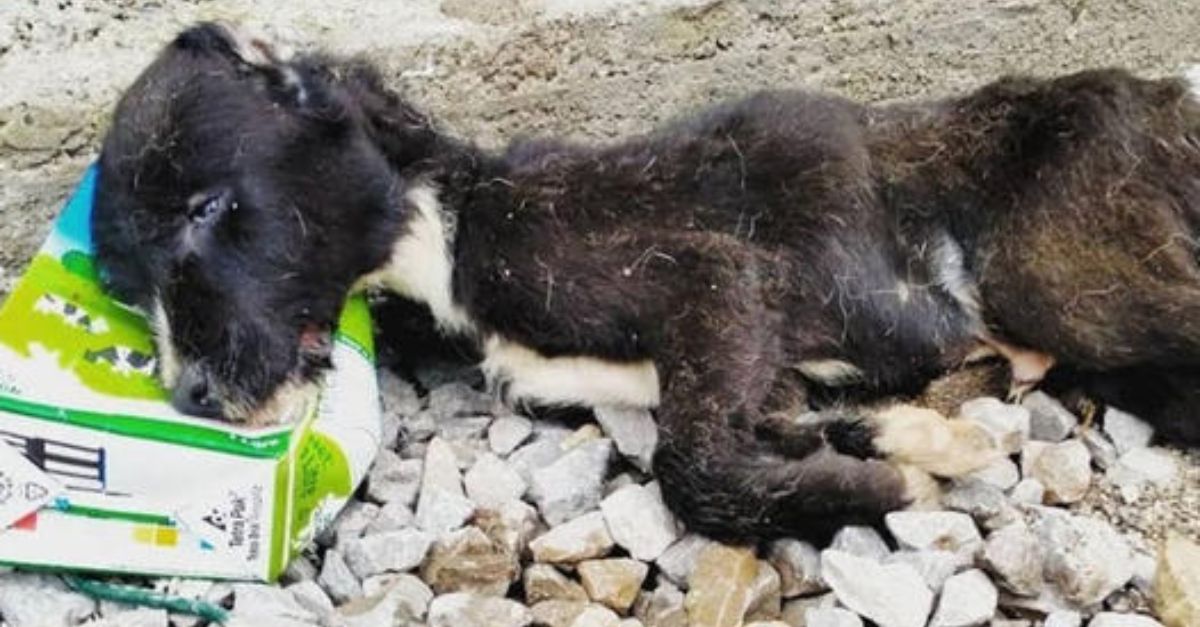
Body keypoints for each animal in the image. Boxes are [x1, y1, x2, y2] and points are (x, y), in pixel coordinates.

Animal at [91, 23, 1200, 540]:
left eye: (208, 208)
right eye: (124, 276)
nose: (188, 396)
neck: (456, 220)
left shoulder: (715, 275)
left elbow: (690, 463)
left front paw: (886, 478)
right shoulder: (762, 366)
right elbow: (754, 431)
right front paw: (883, 450)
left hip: (1061, 273)